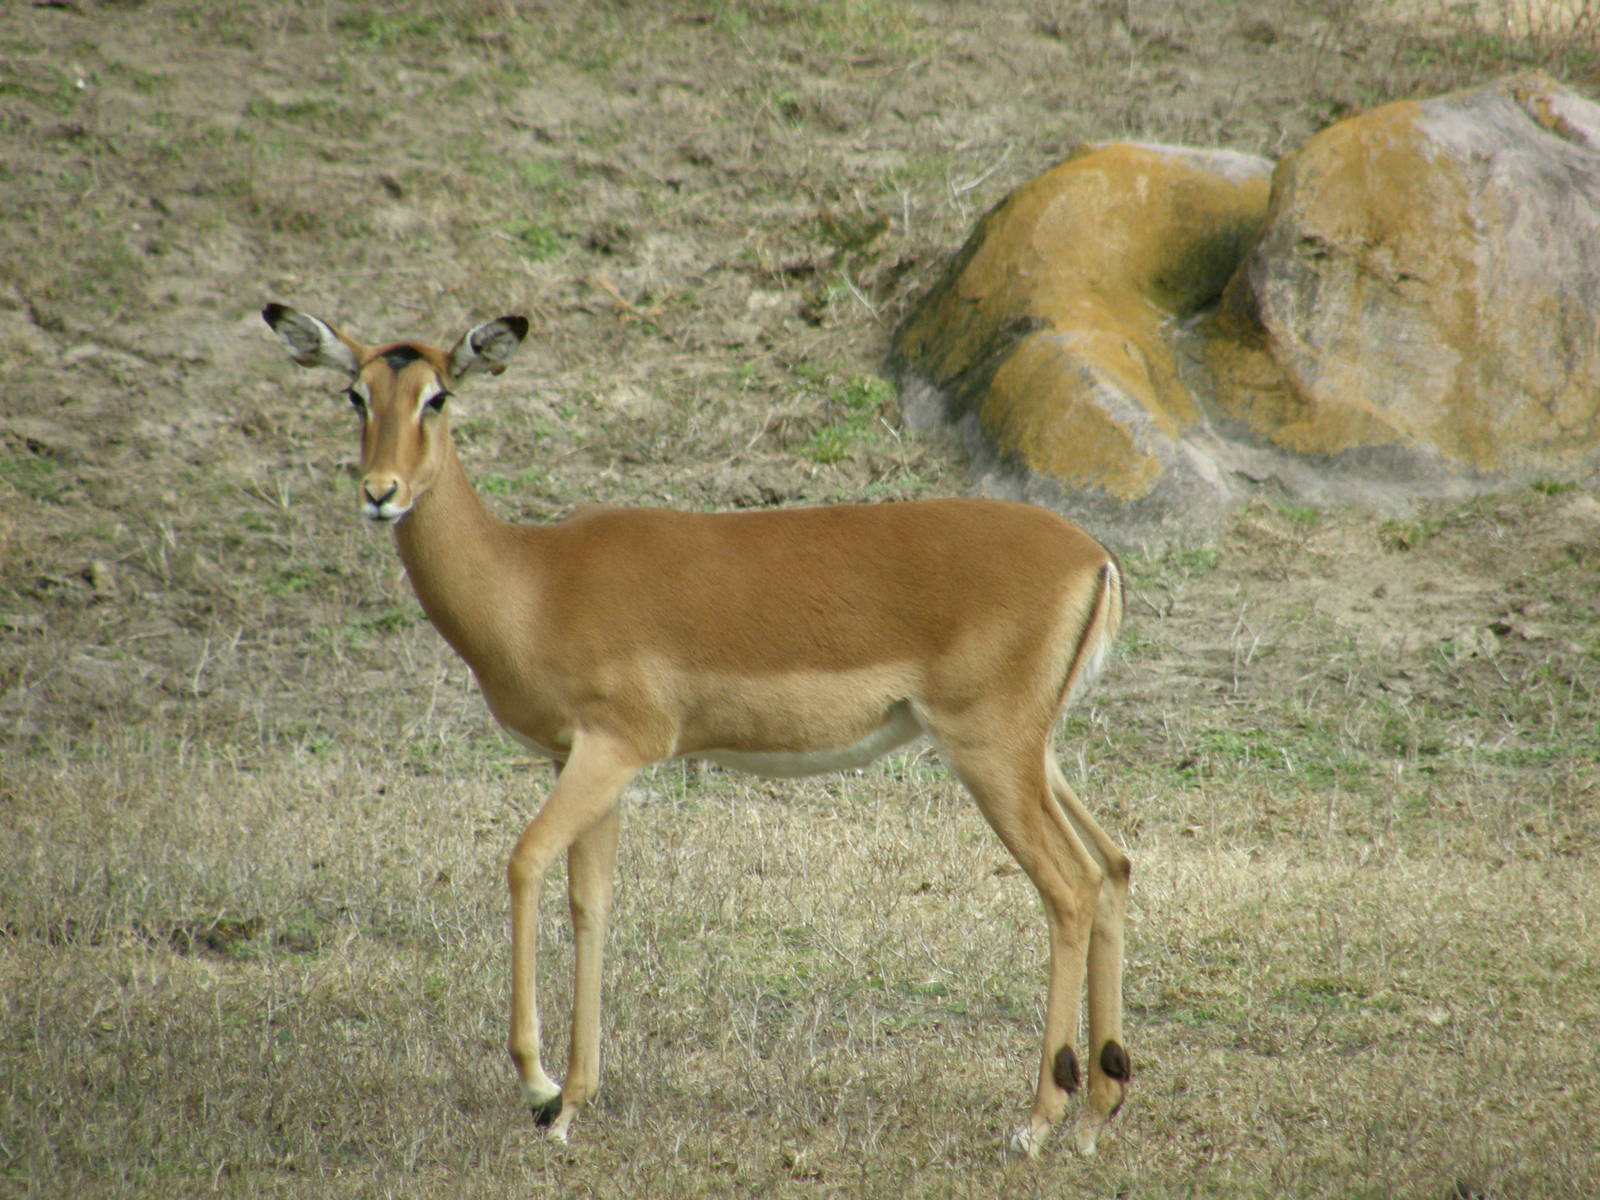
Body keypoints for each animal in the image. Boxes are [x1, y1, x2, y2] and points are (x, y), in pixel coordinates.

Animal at [262, 303, 1132, 1157]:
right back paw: (1097, 1111)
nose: (381, 492)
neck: (532, 580)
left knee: (1069, 887)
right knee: (1113, 865)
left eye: (437, 397)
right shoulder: (585, 767)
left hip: (991, 754)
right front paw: (573, 1105)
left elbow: (524, 863)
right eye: (355, 394)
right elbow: (592, 901)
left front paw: (540, 1089)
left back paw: (1038, 1121)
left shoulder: (614, 750)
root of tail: (1095, 558)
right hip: (1033, 757)